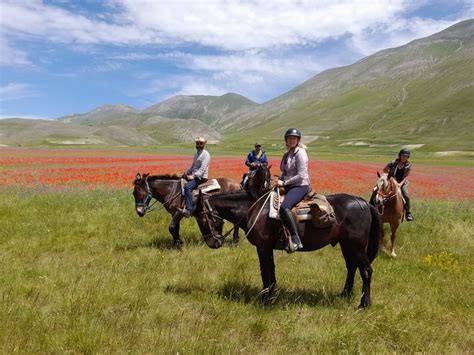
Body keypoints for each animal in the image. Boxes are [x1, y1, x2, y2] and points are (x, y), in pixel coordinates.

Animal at [193, 166, 382, 308]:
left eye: (202, 218)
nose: (212, 242)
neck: (254, 208)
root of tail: (364, 203)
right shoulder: (266, 247)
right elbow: (271, 270)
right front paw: (272, 295)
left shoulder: (263, 247)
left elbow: (265, 271)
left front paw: (265, 299)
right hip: (346, 245)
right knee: (351, 267)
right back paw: (344, 294)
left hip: (356, 246)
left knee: (366, 270)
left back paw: (364, 303)